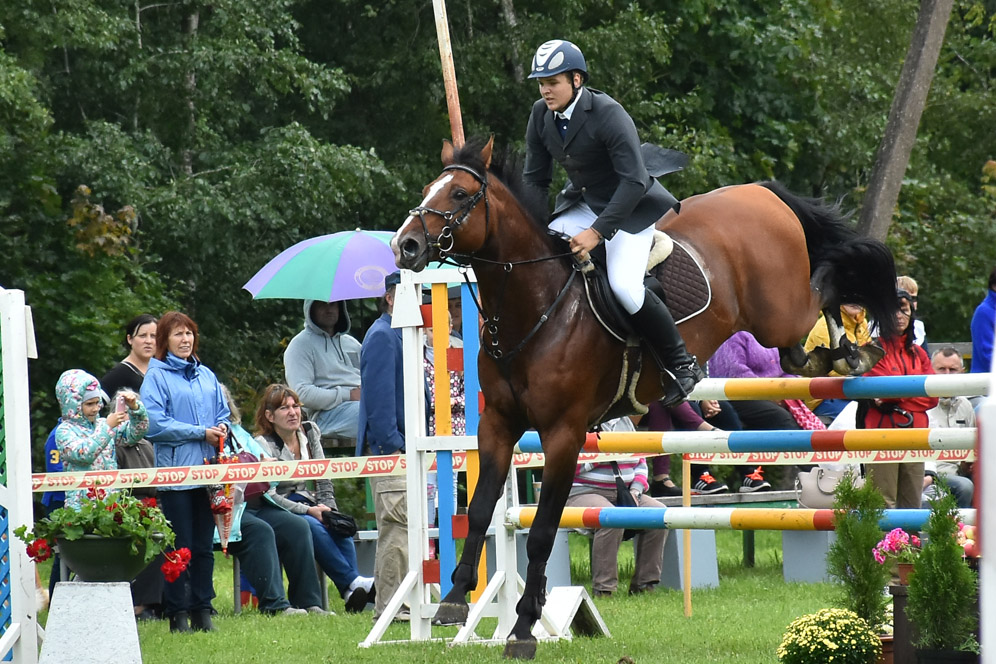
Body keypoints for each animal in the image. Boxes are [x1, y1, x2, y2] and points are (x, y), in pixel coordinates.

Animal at [392, 137, 898, 659]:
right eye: (429, 188)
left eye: (458, 194)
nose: (404, 246)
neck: (537, 306)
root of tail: (759, 191)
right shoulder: (498, 424)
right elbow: (478, 512)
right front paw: (453, 602)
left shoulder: (563, 434)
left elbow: (542, 532)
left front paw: (524, 627)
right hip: (774, 325)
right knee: (799, 349)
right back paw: (835, 355)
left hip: (781, 309)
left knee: (828, 283)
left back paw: (853, 350)